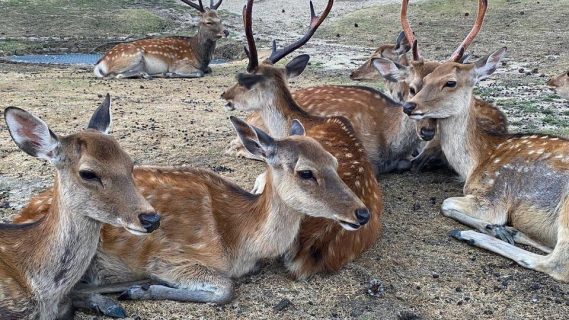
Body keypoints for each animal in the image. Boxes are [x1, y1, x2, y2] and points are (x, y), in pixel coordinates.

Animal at [13, 116, 370, 316]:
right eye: (306, 172)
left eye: (334, 162)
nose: (362, 212)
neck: (240, 241)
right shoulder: (172, 258)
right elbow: (226, 288)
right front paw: (145, 290)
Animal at [92, 0, 226, 79]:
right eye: (208, 21)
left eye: (220, 19)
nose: (226, 32)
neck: (198, 54)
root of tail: (101, 62)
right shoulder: (180, 63)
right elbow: (200, 72)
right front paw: (169, 73)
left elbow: (209, 69)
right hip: (132, 56)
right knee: (115, 75)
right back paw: (152, 74)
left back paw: (146, 74)